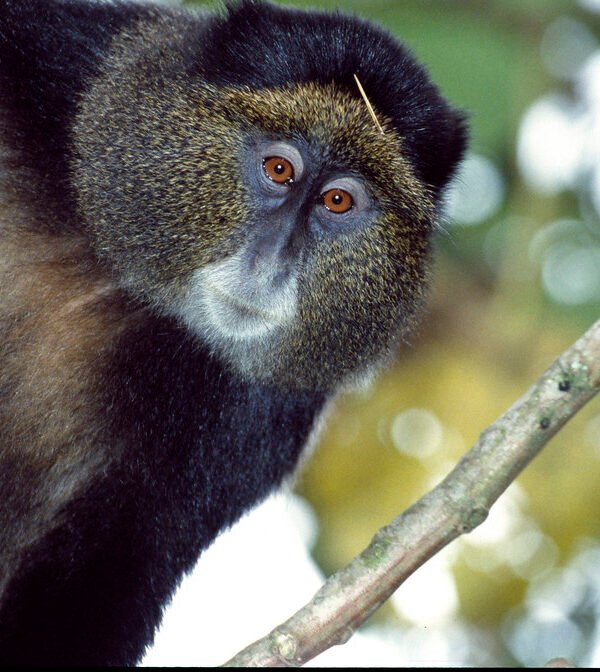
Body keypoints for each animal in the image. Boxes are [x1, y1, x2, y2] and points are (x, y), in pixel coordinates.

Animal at [0, 0, 467, 665]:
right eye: (279, 168)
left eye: (338, 202)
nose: (270, 262)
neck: (120, 279)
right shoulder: (55, 53)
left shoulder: (258, 418)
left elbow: (113, 564)